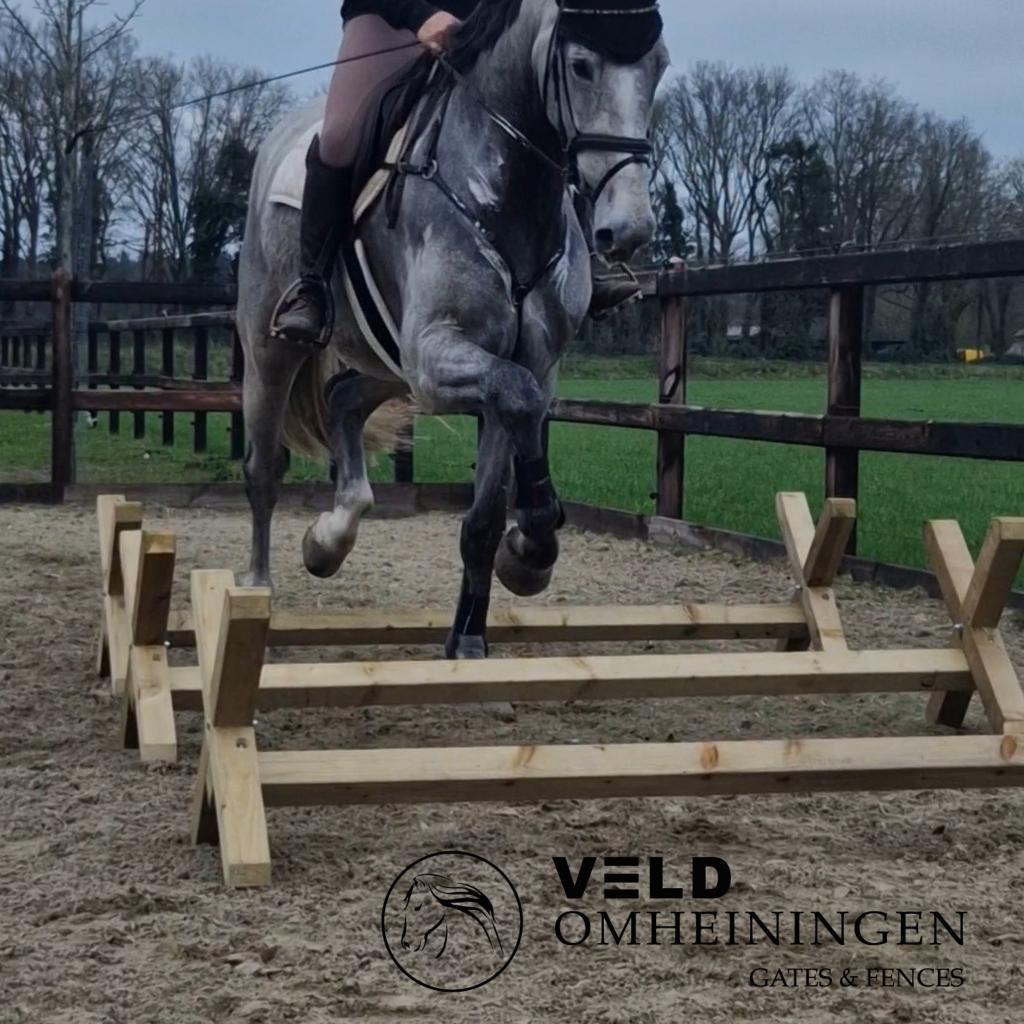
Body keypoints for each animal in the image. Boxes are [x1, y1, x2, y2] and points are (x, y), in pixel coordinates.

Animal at [237, 0, 668, 659]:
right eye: (581, 65)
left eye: (658, 67)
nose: (629, 230)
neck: (503, 195)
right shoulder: (440, 353)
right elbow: (517, 401)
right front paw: (531, 548)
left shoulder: (524, 364)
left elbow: (488, 510)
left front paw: (477, 625)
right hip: (273, 349)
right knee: (264, 469)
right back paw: (257, 590)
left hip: (388, 362)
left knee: (343, 398)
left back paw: (328, 539)